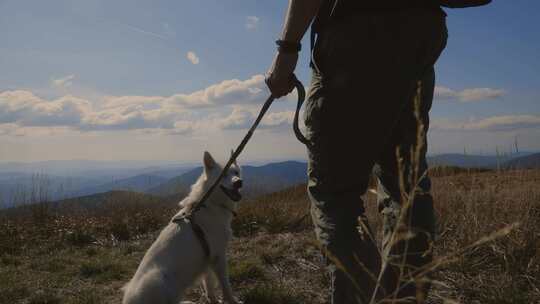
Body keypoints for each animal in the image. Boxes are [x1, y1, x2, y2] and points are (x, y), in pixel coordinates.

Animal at [123, 151, 244, 302]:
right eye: (223, 175)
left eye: (236, 172)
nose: (239, 182)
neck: (211, 204)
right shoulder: (219, 256)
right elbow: (226, 286)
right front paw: (232, 300)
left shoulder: (208, 259)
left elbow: (209, 285)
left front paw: (213, 299)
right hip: (158, 279)